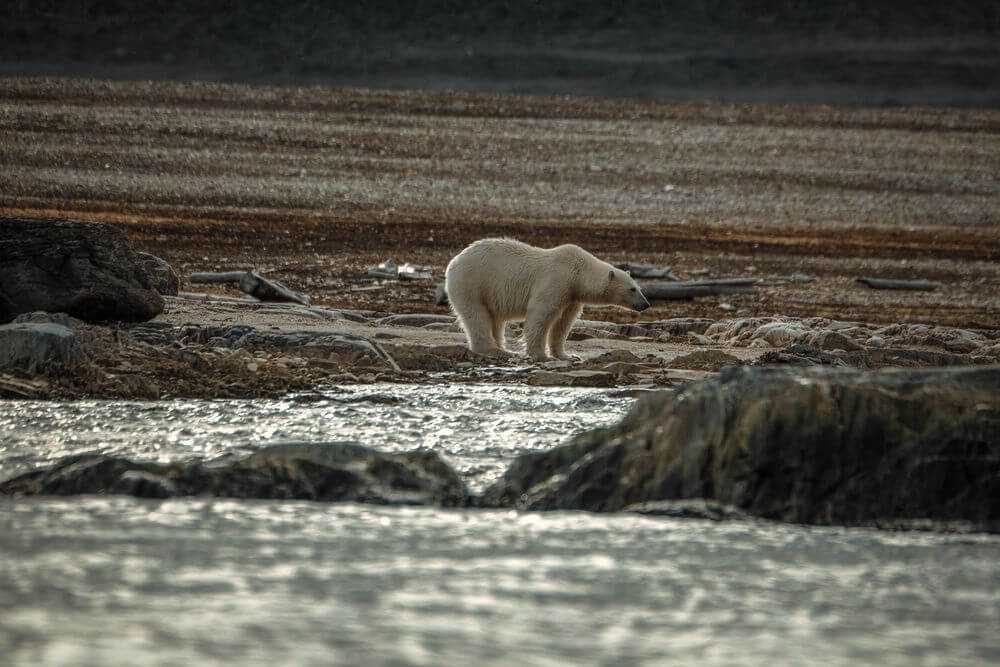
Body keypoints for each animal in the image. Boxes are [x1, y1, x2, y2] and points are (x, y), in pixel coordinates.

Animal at [444, 239, 648, 362]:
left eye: (639, 288)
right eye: (632, 289)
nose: (645, 304)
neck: (578, 272)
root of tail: (454, 262)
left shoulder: (571, 296)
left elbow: (563, 323)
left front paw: (567, 355)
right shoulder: (556, 281)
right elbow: (541, 315)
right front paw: (541, 356)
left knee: (495, 319)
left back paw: (503, 348)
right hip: (472, 284)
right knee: (477, 316)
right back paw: (496, 350)